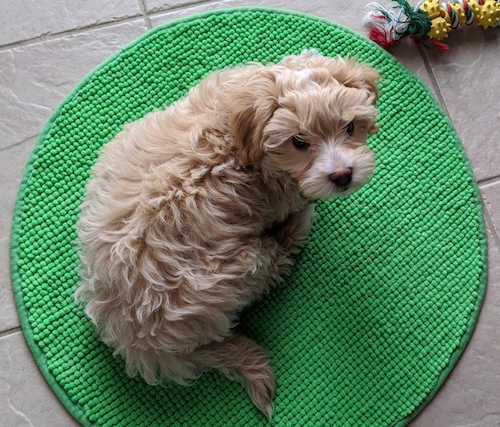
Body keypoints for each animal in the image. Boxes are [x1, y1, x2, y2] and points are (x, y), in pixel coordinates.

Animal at [75, 50, 378, 418]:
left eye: (350, 127)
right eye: (298, 141)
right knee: (274, 264)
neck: (238, 139)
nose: (342, 175)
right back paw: (295, 231)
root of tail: (141, 344)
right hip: (241, 268)